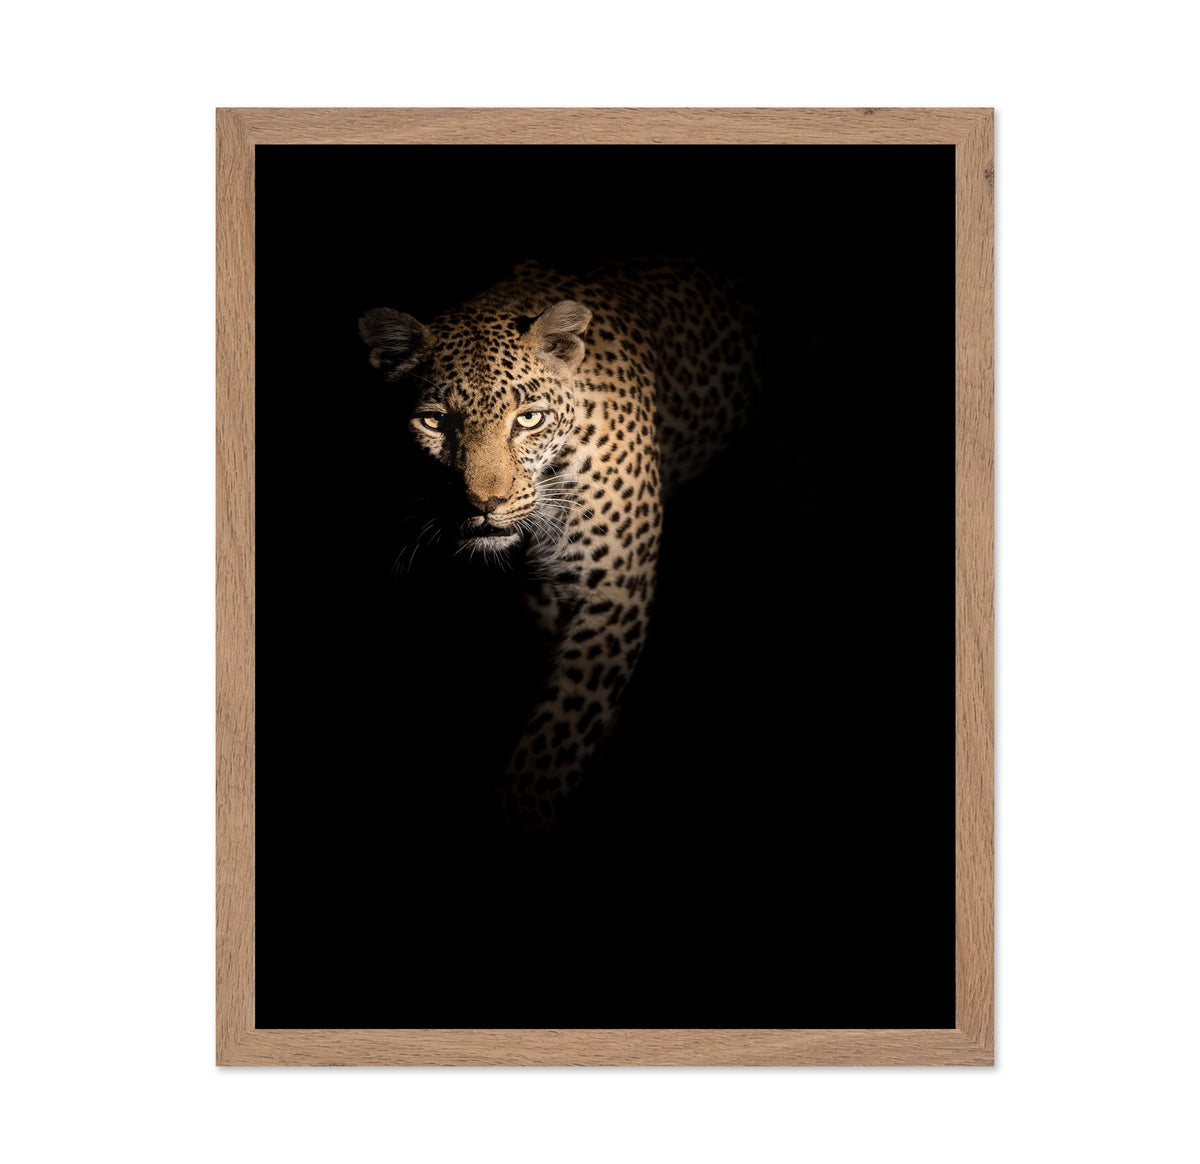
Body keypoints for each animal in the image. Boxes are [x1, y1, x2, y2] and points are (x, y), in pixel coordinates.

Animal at [359, 258, 759, 830]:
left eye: (529, 418)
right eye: (433, 421)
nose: (485, 504)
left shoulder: (614, 592)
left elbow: (555, 738)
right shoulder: (539, 591)